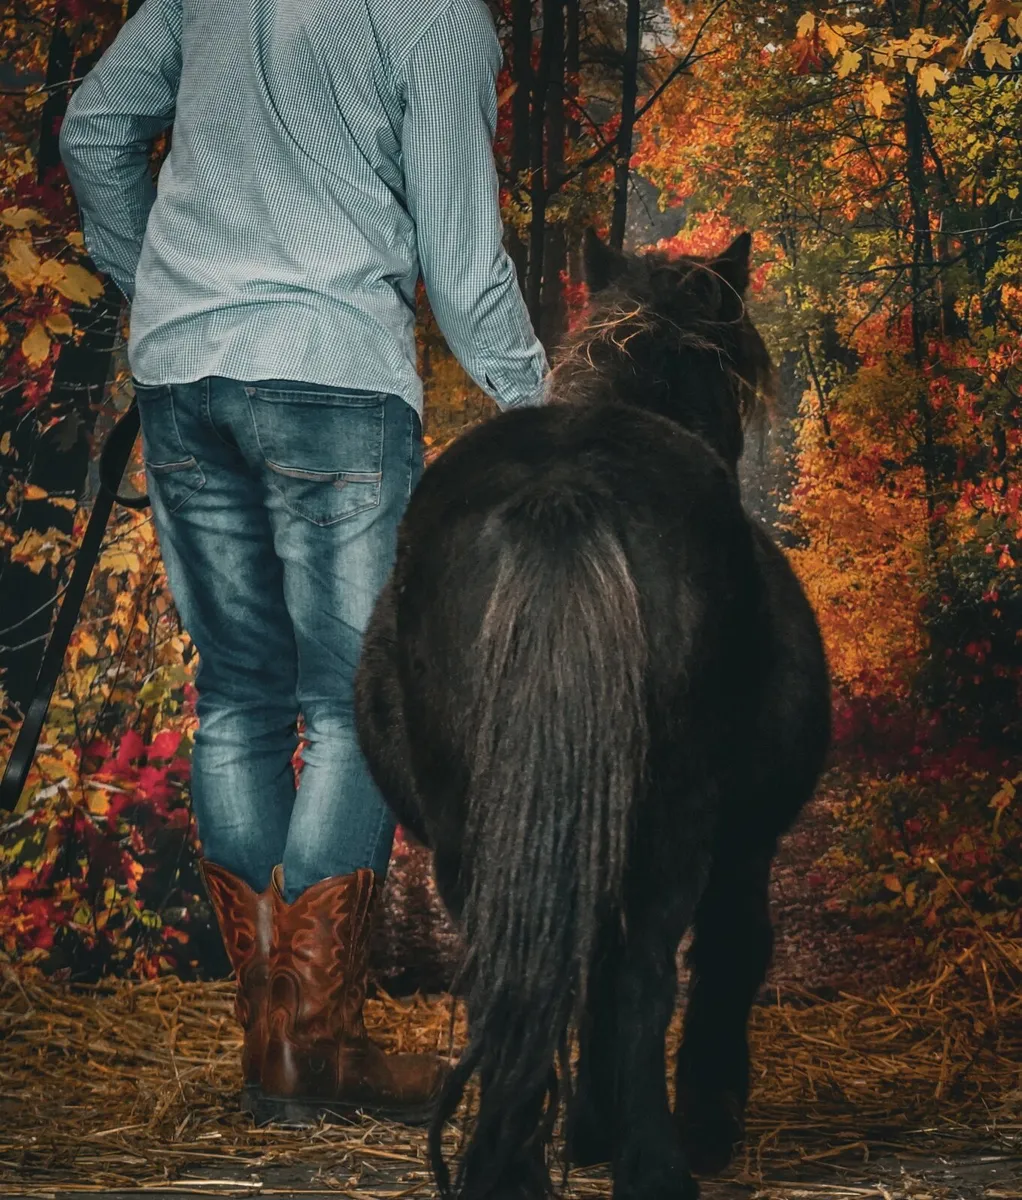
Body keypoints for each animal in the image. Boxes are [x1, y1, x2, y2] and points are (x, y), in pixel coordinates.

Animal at [353, 227, 831, 1200]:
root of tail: (563, 494)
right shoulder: (742, 848)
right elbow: (726, 959)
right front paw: (698, 1122)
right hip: (673, 824)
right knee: (644, 976)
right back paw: (655, 1164)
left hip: (473, 835)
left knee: (514, 982)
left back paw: (510, 1165)